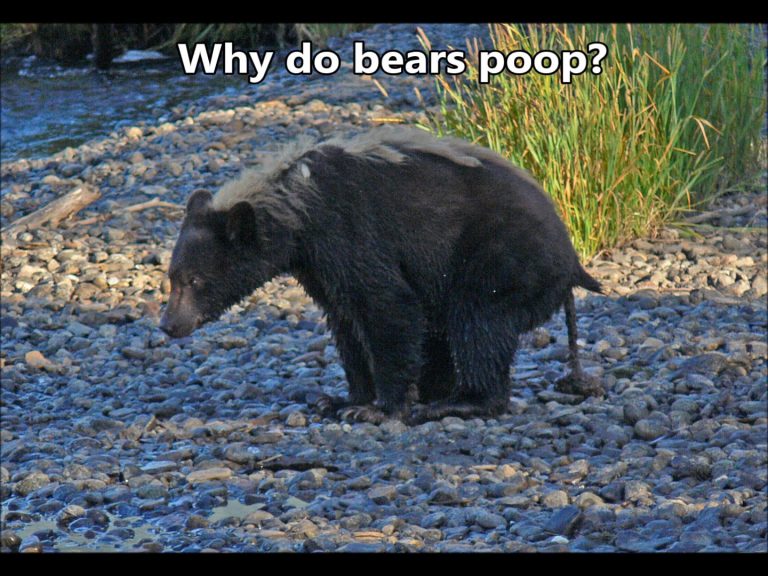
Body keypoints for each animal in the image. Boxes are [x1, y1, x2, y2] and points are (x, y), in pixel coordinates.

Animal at [160, 126, 603, 423]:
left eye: (194, 280)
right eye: (172, 277)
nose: (169, 324)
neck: (300, 210)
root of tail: (572, 259)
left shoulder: (350, 230)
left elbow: (386, 305)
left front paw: (379, 408)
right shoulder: (319, 265)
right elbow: (344, 320)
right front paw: (344, 399)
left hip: (499, 256)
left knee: (479, 321)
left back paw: (460, 401)